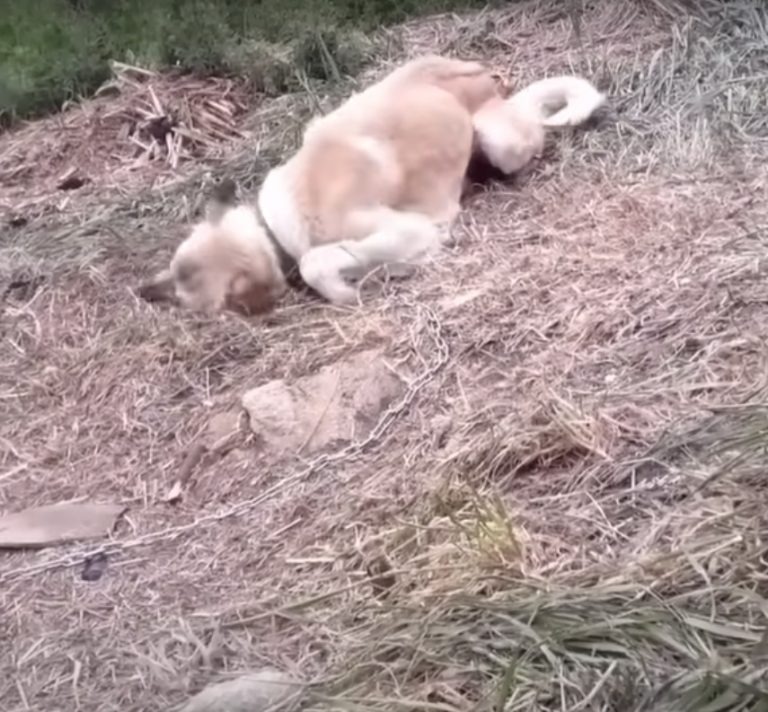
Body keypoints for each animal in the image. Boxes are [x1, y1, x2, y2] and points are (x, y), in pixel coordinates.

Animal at [140, 55, 608, 312]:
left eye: (193, 301)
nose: (145, 291)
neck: (272, 229)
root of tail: (482, 77)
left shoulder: (408, 229)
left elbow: (316, 263)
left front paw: (351, 289)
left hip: (502, 142)